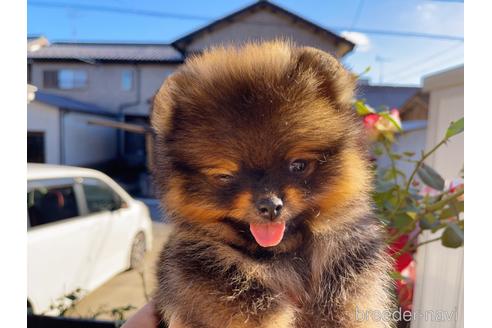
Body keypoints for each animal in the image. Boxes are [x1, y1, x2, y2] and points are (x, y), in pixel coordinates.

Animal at [152, 41, 394, 328]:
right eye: (225, 176)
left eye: (298, 165)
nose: (269, 205)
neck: (285, 257)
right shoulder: (205, 268)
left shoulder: (349, 267)